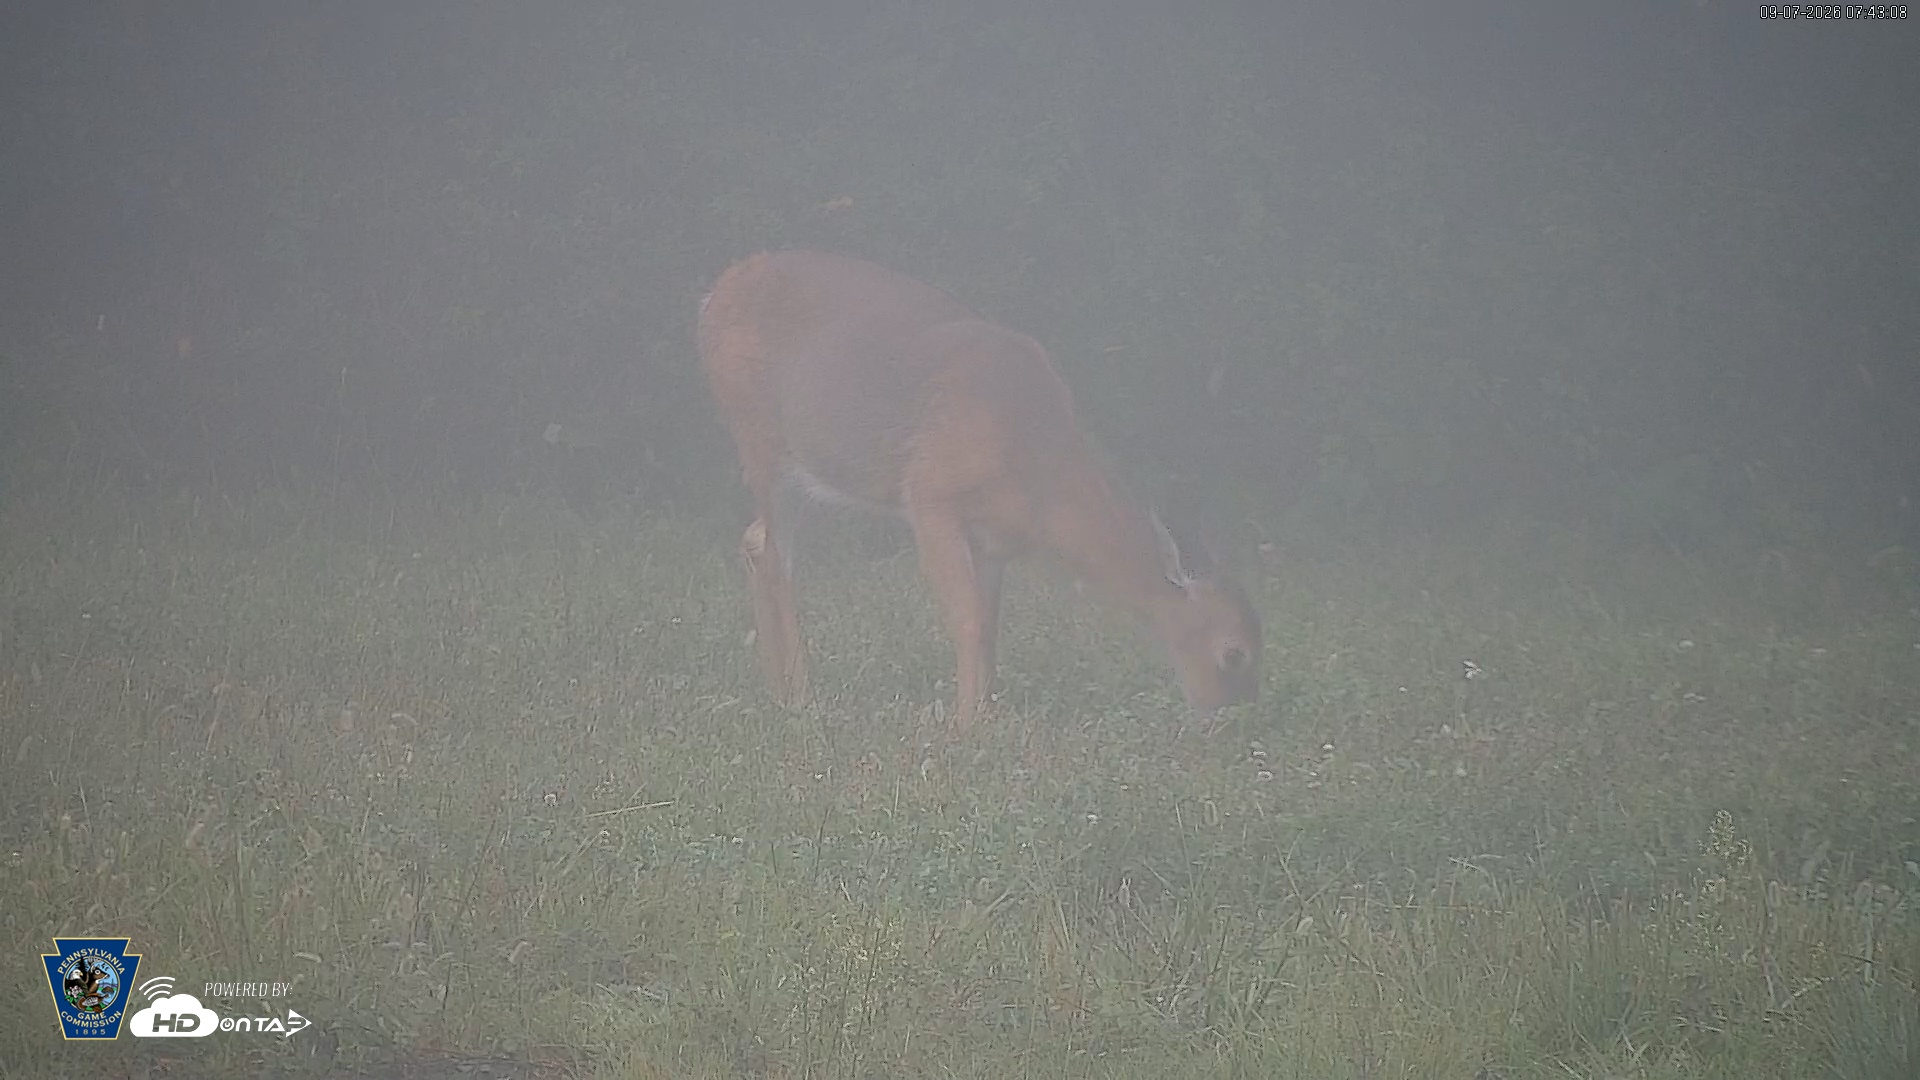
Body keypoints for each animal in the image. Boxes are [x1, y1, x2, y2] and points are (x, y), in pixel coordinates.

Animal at [698, 250, 1261, 733]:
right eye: (1233, 653)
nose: (1233, 721)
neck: (1039, 477)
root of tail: (717, 291)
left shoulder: (995, 543)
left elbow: (989, 626)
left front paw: (987, 716)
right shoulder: (930, 496)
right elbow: (967, 618)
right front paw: (964, 727)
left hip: (819, 477)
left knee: (755, 541)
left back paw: (778, 690)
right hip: (762, 440)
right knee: (778, 562)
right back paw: (800, 696)